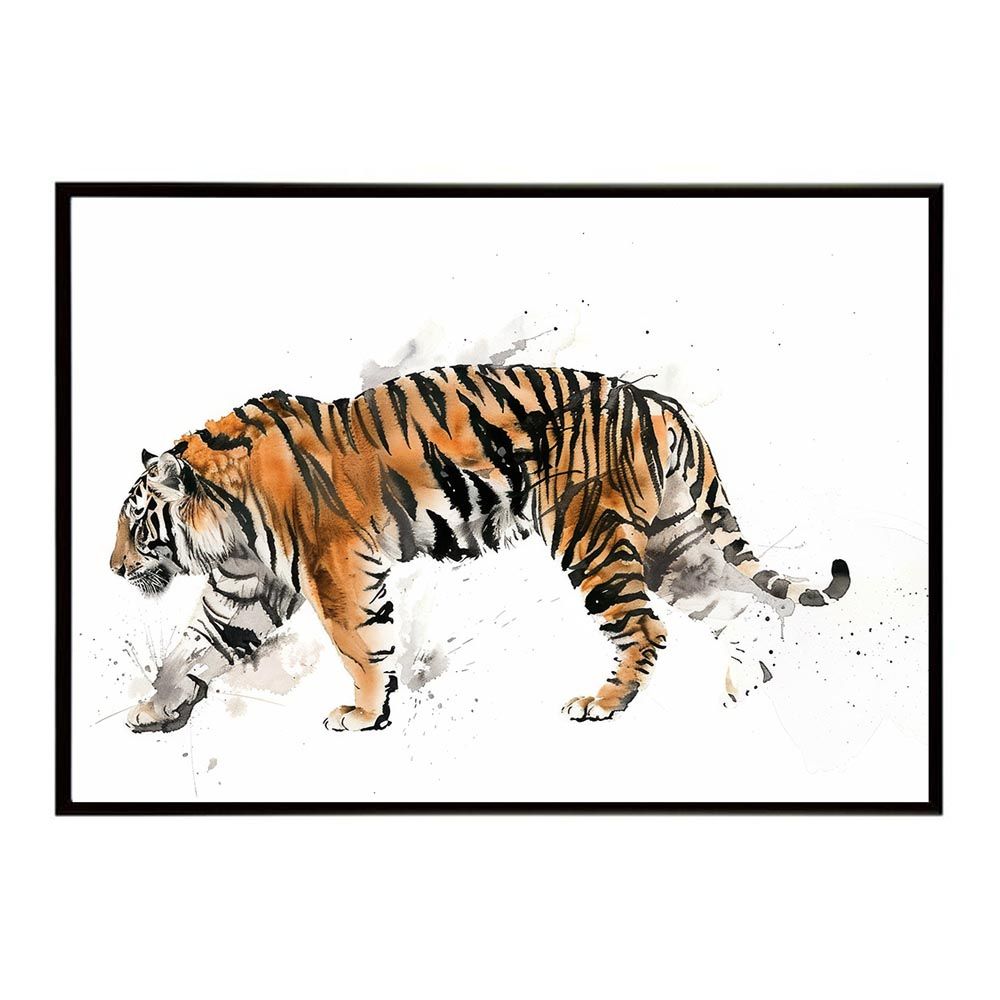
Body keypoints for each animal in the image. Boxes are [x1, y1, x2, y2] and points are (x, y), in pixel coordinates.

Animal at [110, 365, 850, 733]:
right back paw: (745, 684)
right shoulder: (247, 587)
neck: (223, 520)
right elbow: (197, 643)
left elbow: (360, 644)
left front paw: (364, 713)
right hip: (678, 544)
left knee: (644, 626)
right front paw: (156, 706)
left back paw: (603, 702)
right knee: (737, 609)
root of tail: (663, 403)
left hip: (590, 536)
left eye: (134, 522)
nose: (112, 569)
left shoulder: (333, 568)